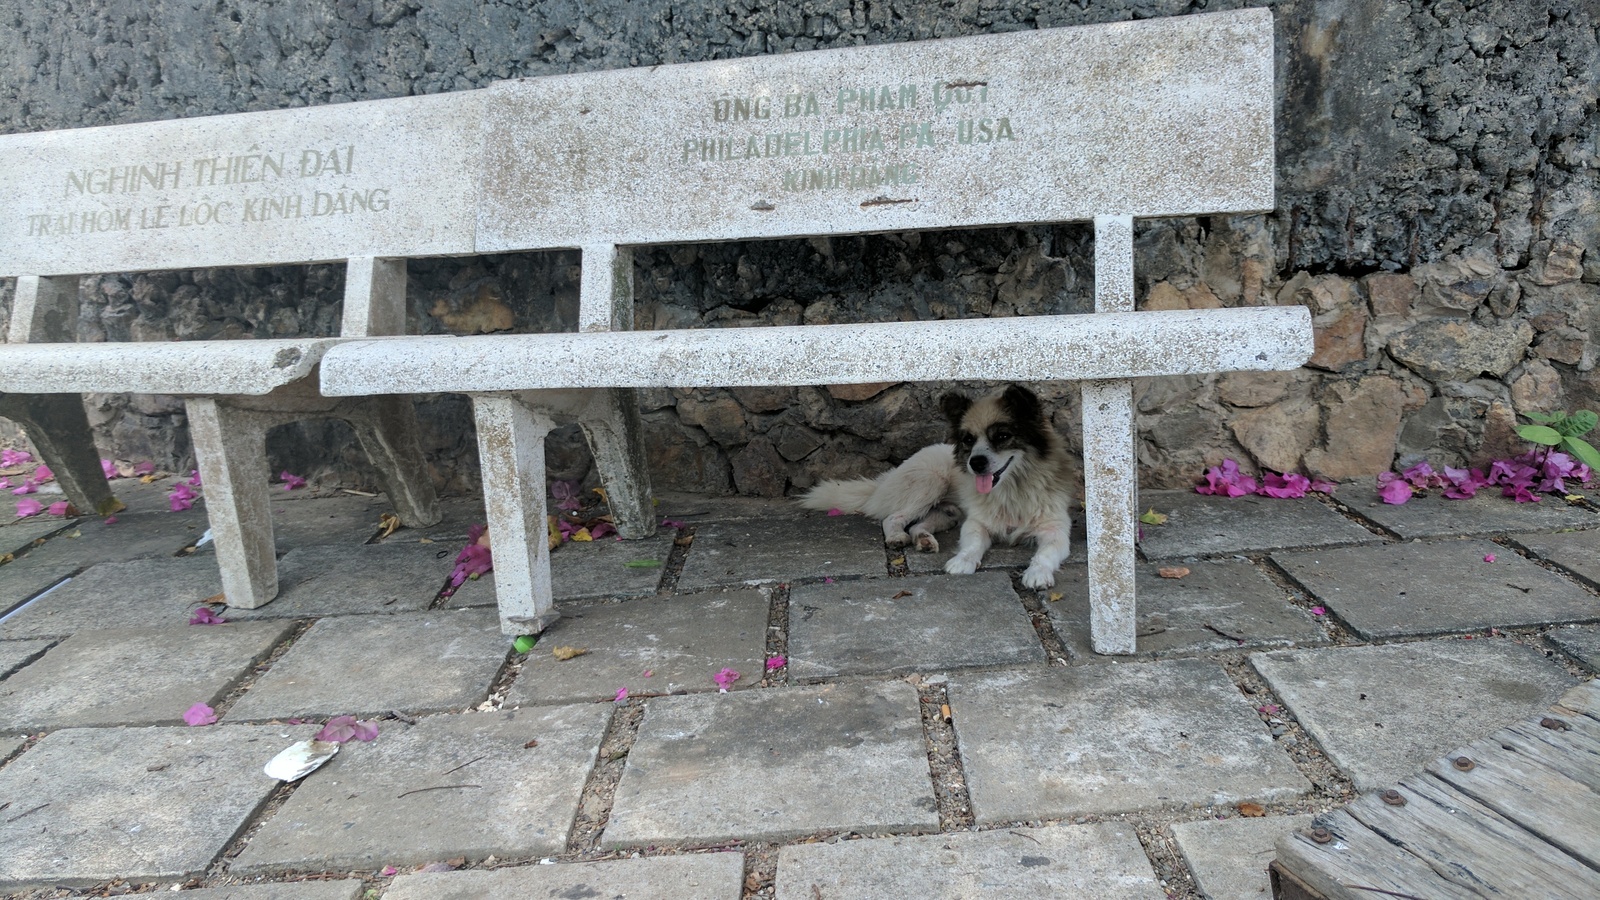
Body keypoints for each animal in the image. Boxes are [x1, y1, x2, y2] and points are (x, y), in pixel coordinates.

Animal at [793, 438, 953, 547]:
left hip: (947, 513)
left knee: (916, 526)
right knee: (891, 518)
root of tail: (884, 480)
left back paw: (924, 540)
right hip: (933, 483)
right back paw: (897, 537)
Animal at [934, 379, 1075, 586]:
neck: (1012, 490)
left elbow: (1046, 553)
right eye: (968, 439)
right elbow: (973, 542)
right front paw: (963, 560)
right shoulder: (976, 522)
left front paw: (1037, 572)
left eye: (1002, 436)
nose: (975, 463)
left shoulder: (1055, 528)